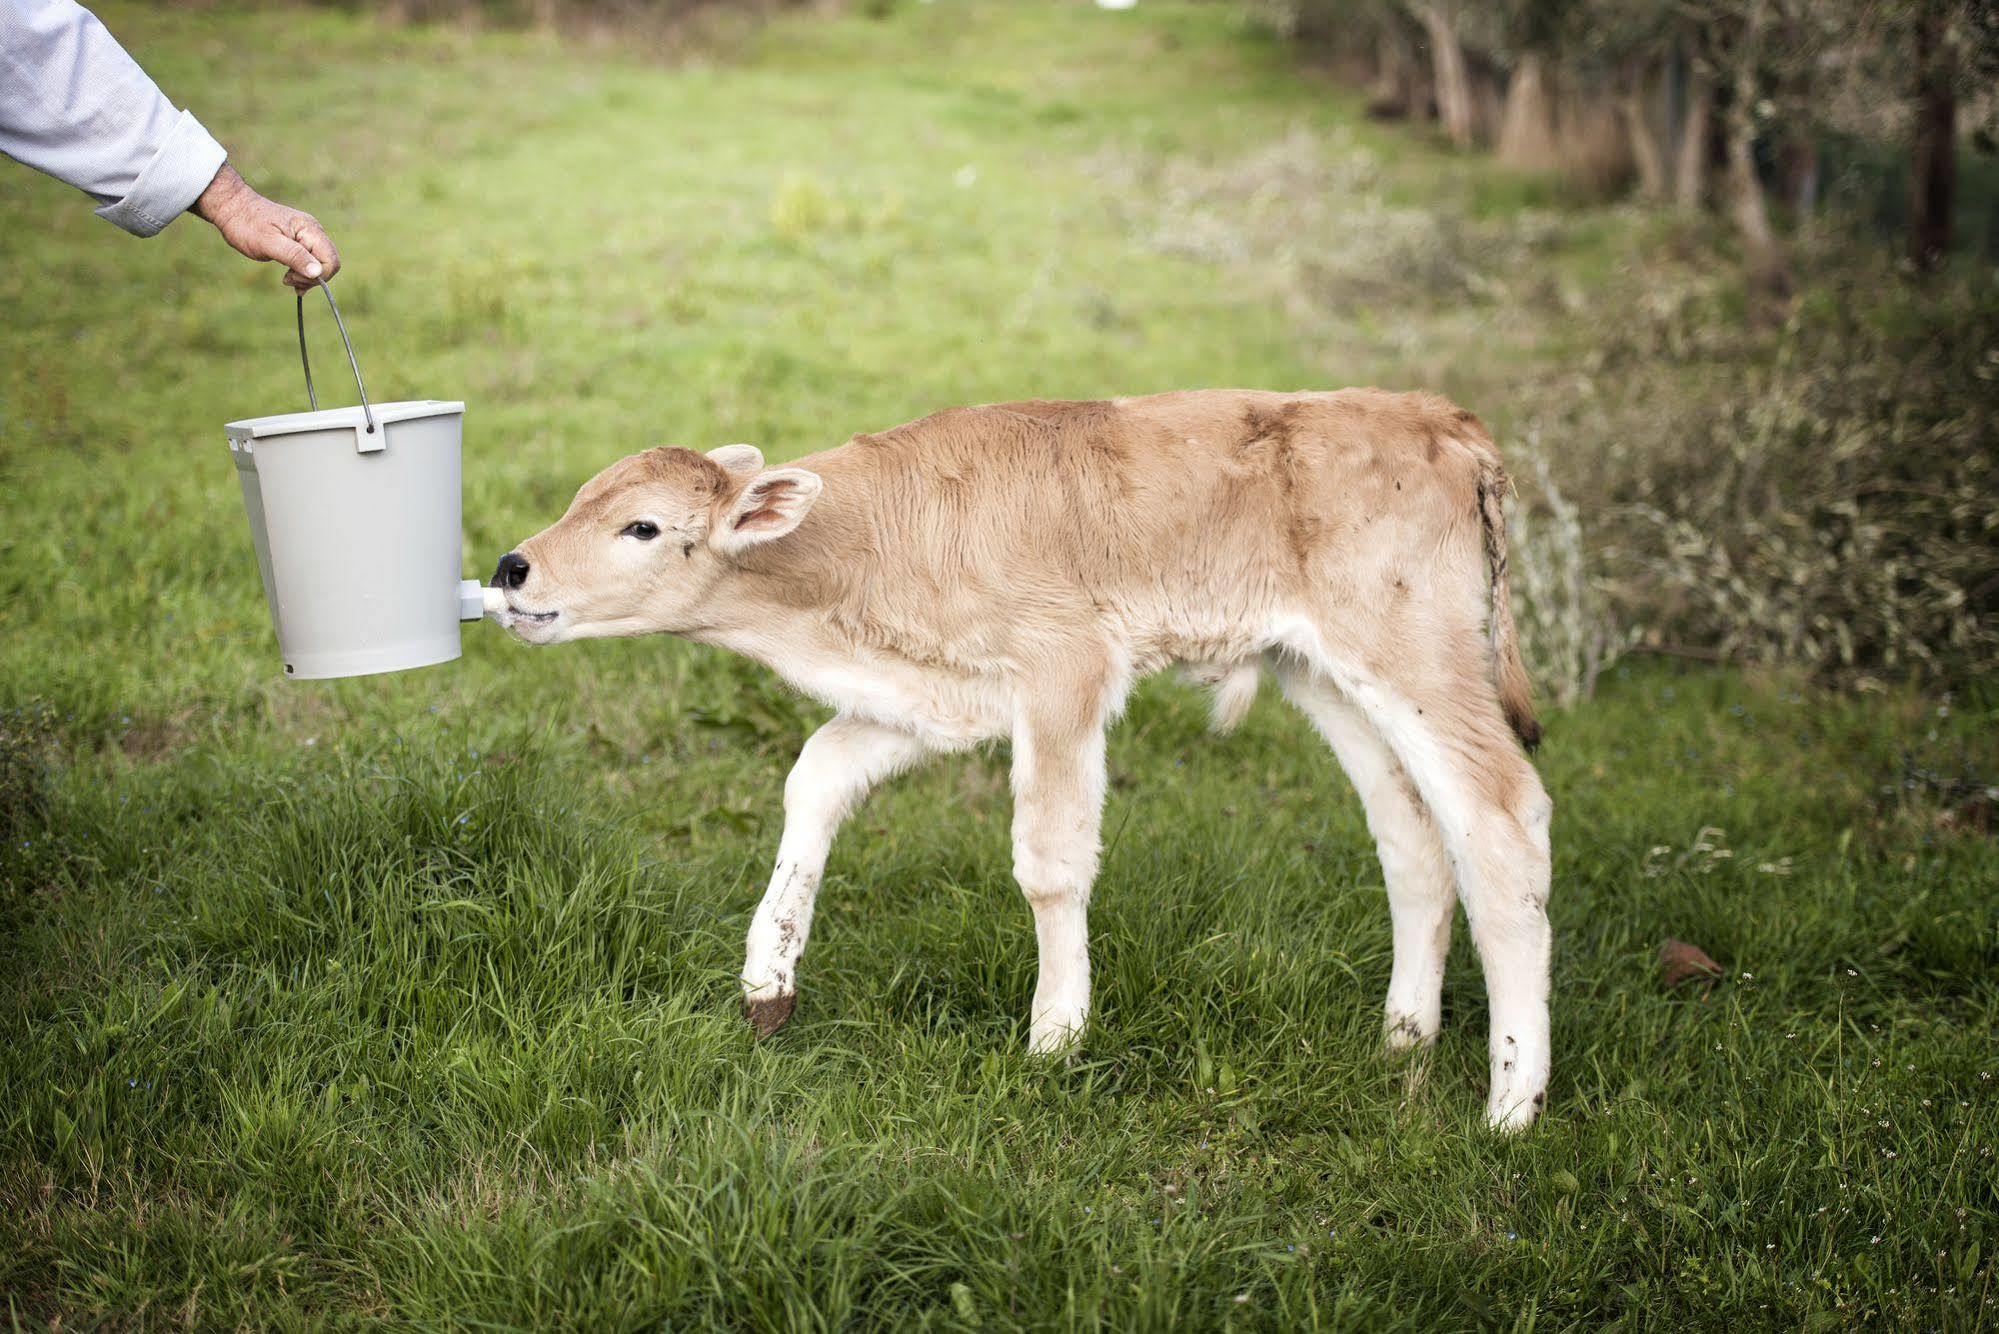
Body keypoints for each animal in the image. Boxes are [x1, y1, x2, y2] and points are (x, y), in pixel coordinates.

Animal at [491, 392, 1551, 1136]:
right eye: (581, 499)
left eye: (642, 526)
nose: (510, 568)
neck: (869, 547)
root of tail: (1438, 417)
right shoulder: (936, 699)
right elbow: (817, 772)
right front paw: (767, 984)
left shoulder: (1063, 670)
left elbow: (1049, 861)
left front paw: (1055, 1037)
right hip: (1325, 674)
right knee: (1412, 836)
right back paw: (1403, 1041)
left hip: (1417, 658)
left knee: (1501, 821)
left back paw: (1510, 1106)